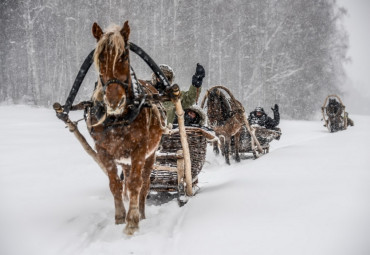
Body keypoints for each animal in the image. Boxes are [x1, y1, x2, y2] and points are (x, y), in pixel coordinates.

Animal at [87, 21, 164, 235]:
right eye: (100, 57)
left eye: (123, 55)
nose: (114, 101)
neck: (117, 119)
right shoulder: (103, 150)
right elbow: (115, 184)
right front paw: (120, 217)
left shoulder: (140, 149)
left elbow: (136, 184)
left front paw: (132, 222)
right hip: (125, 159)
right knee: (126, 182)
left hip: (151, 154)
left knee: (144, 183)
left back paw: (142, 213)